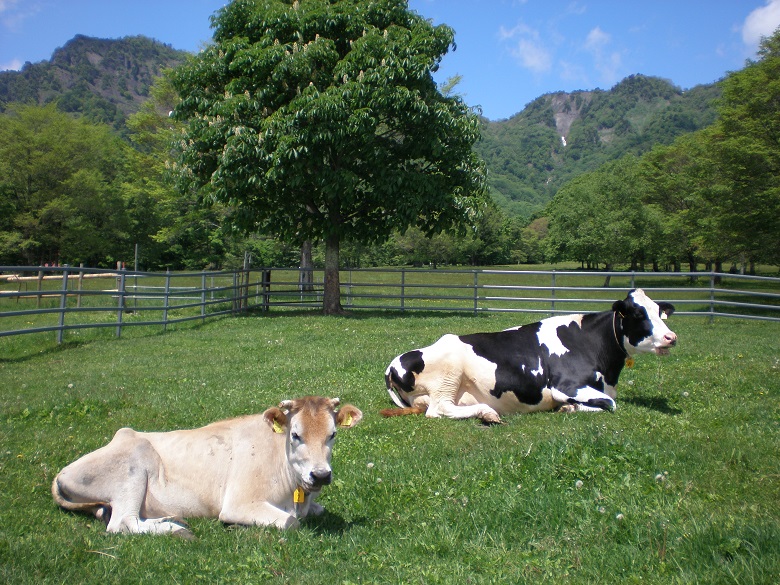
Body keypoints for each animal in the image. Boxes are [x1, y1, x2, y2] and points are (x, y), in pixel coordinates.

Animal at [380, 288, 672, 422]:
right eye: (638, 314)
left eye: (660, 312)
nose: (672, 337)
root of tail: (392, 364)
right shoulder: (566, 386)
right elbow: (610, 404)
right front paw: (569, 407)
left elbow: (609, 401)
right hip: (448, 376)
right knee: (439, 409)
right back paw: (487, 412)